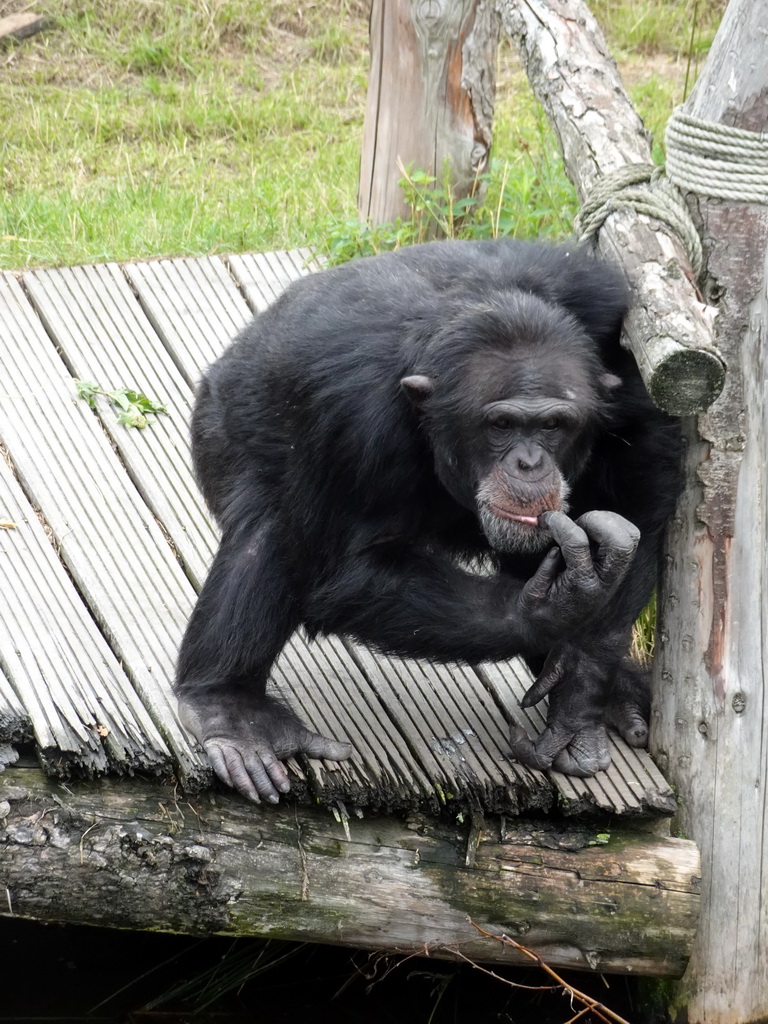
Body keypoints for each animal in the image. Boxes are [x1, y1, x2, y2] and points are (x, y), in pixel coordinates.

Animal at [177, 237, 684, 798]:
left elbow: (646, 469)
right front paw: (550, 607)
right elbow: (344, 568)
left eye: (553, 424)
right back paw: (228, 706)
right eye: (501, 424)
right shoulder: (352, 417)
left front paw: (583, 684)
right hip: (221, 426)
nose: (529, 463)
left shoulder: (615, 332)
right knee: (271, 528)